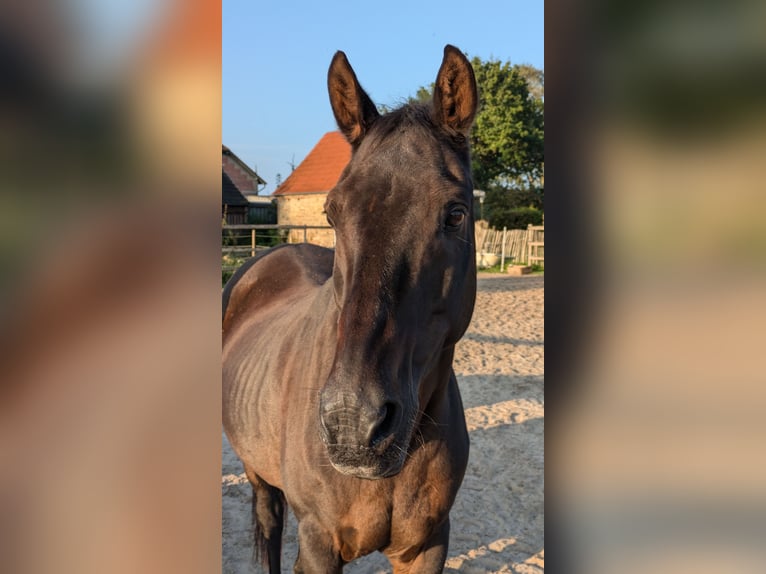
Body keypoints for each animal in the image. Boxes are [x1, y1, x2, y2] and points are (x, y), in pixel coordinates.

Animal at [219, 46, 476, 574]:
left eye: (455, 213)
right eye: (332, 213)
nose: (353, 423)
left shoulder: (429, 544)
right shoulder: (320, 544)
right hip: (258, 473)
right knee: (269, 524)